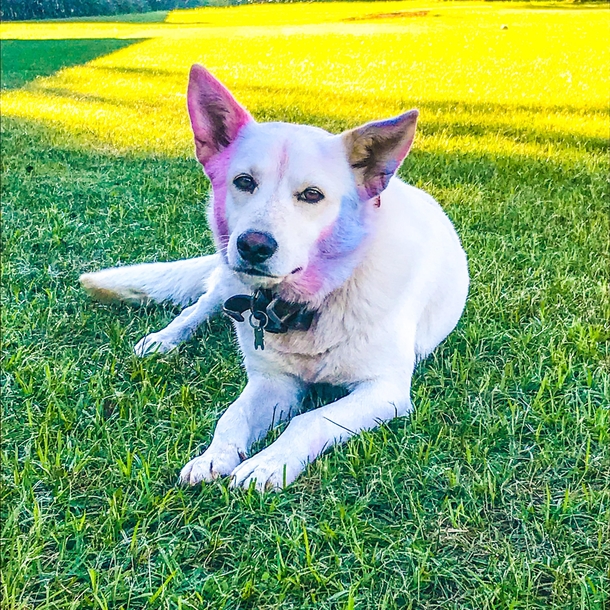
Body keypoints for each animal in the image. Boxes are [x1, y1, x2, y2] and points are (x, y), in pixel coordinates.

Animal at [81, 65, 468, 490]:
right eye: (244, 182)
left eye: (312, 195)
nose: (253, 245)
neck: (310, 304)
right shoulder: (273, 382)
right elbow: (232, 416)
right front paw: (214, 457)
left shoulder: (383, 391)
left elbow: (309, 420)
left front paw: (268, 463)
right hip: (227, 282)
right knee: (198, 308)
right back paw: (164, 339)